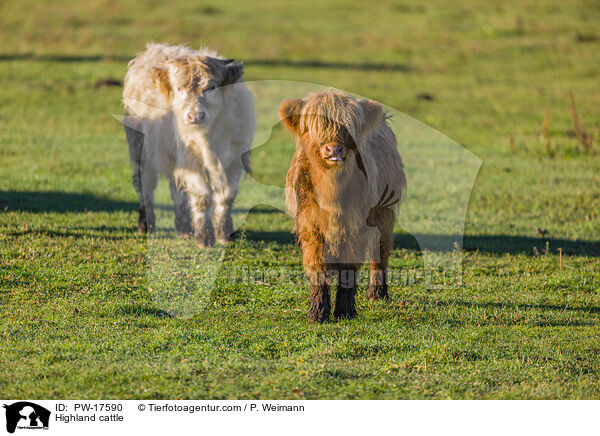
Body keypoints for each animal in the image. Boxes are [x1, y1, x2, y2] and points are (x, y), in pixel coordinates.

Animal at [123, 42, 254, 247]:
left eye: (212, 86)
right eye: (178, 88)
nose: (195, 116)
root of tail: (152, 49)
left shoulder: (234, 161)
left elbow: (226, 197)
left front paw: (224, 234)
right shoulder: (191, 161)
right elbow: (202, 198)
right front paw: (204, 237)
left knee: (176, 190)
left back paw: (183, 228)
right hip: (140, 150)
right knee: (145, 186)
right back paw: (146, 225)